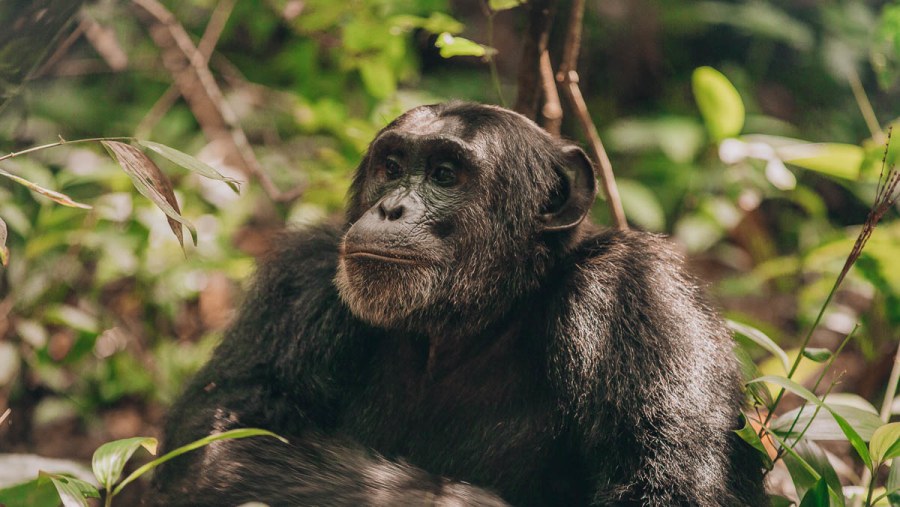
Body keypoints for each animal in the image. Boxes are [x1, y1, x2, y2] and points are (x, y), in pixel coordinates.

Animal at [149, 101, 768, 506]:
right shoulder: (299, 280)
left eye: (445, 175)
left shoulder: (637, 295)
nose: (391, 208)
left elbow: (668, 486)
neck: (467, 319)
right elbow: (218, 434)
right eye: (393, 167)